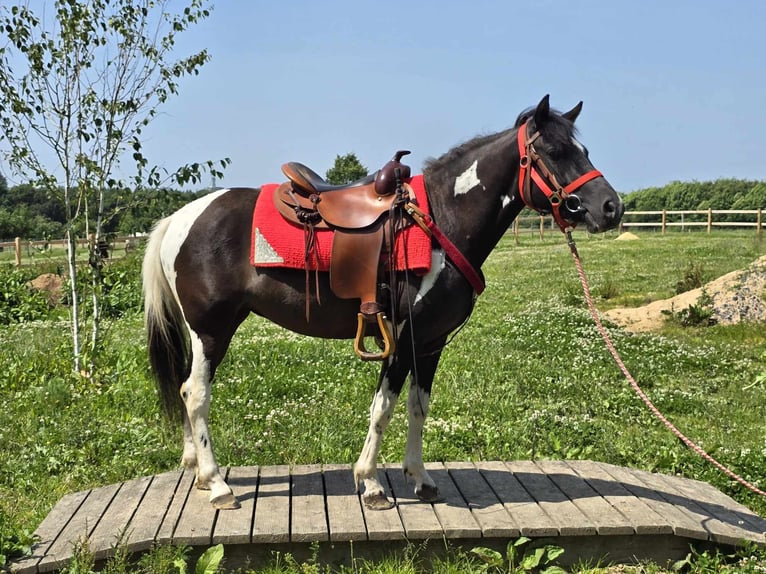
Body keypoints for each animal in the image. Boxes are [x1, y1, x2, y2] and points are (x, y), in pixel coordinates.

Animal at [142, 95, 625, 510]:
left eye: (583, 149)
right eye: (555, 151)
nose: (611, 207)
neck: (441, 221)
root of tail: (180, 218)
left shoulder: (430, 344)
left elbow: (417, 407)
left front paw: (421, 479)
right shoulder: (402, 339)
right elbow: (383, 408)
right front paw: (371, 484)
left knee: (185, 391)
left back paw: (197, 470)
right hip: (211, 330)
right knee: (195, 394)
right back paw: (217, 483)